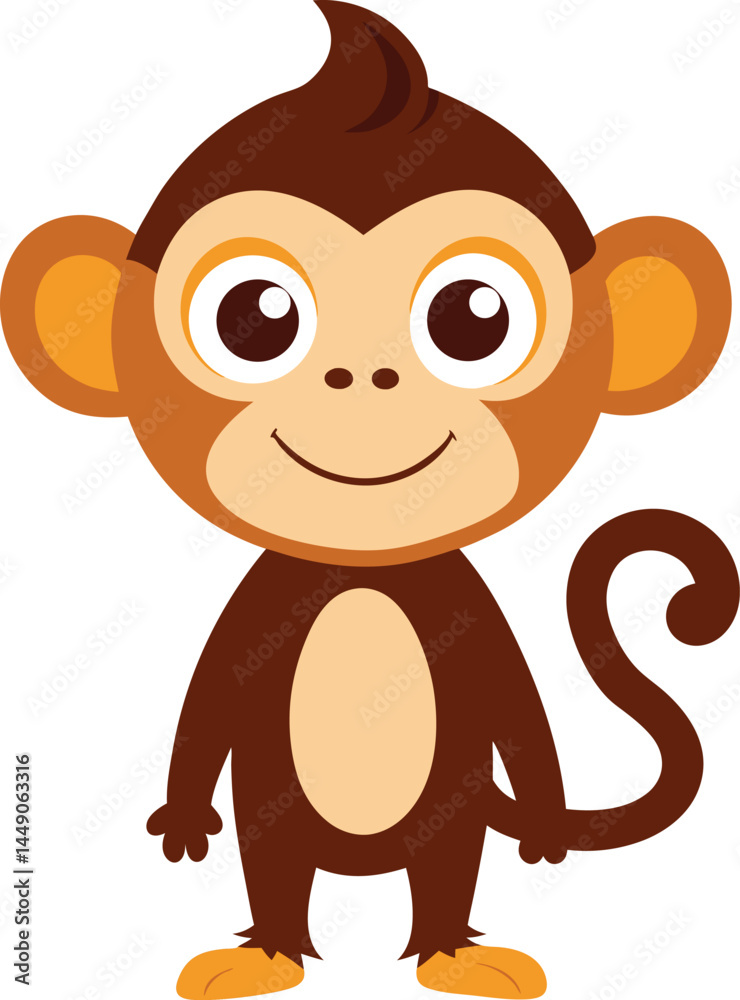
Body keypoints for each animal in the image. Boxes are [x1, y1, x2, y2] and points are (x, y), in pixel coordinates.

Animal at [1, 1, 737, 997]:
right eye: (254, 315)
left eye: (474, 315)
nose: (363, 375)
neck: (364, 571)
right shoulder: (258, 614)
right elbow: (211, 704)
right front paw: (185, 821)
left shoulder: (470, 625)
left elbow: (518, 712)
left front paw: (543, 826)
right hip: (276, 814)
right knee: (276, 869)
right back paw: (265, 955)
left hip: (448, 817)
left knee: (444, 872)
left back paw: (458, 955)